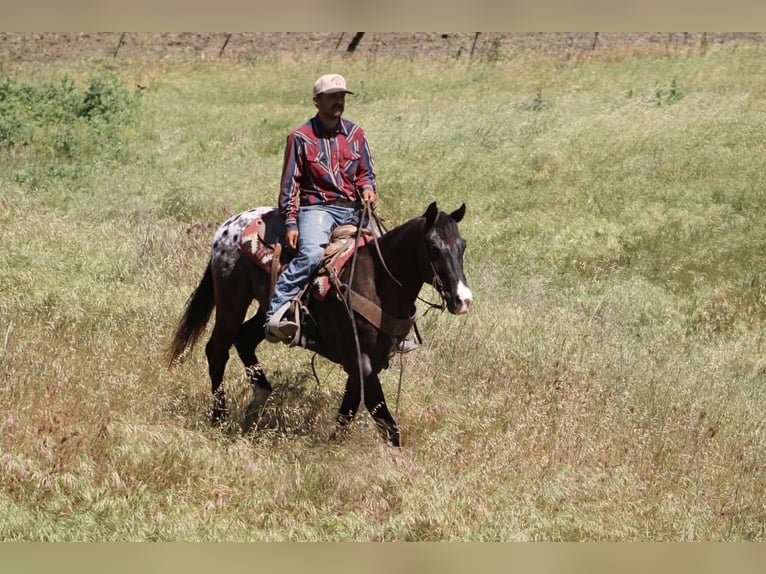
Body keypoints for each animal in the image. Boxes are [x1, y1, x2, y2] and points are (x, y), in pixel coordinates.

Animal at [166, 201, 473, 446]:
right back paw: (219, 417)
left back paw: (259, 399)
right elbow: (385, 422)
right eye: (433, 247)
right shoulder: (359, 360)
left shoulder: (366, 363)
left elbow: (348, 411)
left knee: (244, 340)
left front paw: (331, 447)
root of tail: (227, 228)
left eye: (463, 246)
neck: (378, 282)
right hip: (232, 301)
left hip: (265, 309)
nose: (463, 299)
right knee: (217, 350)